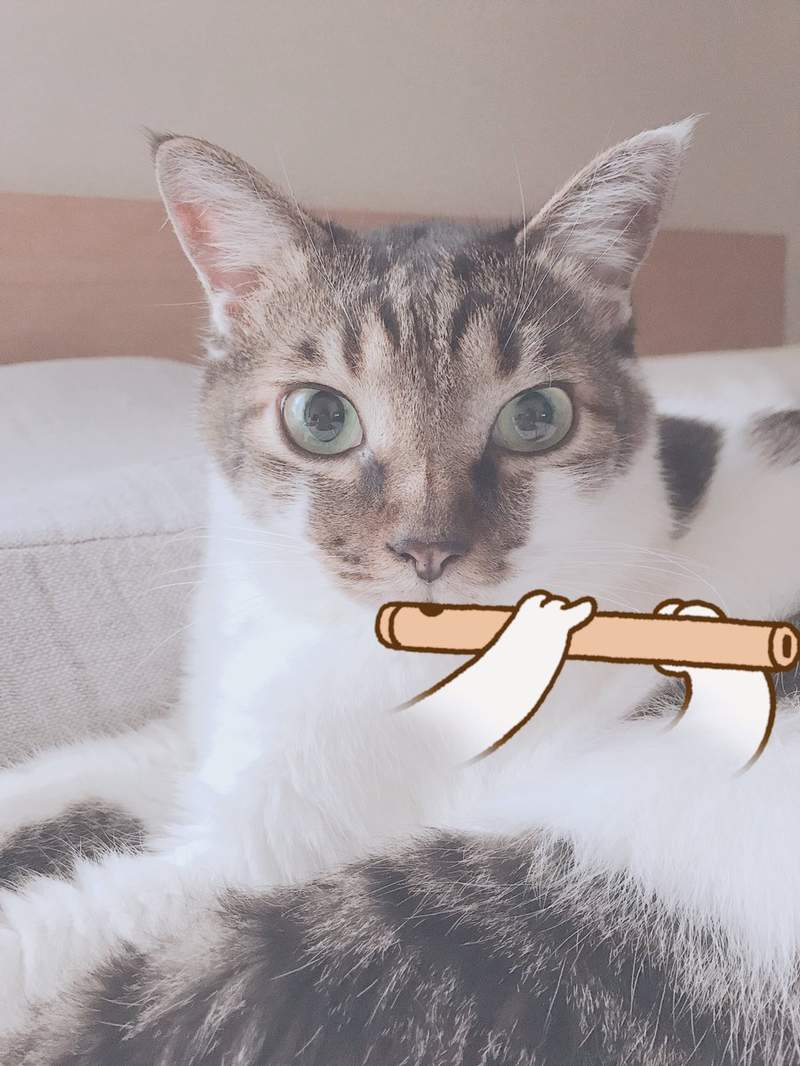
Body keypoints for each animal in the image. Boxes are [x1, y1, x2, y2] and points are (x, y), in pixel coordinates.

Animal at [3, 116, 800, 1064]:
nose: (428, 549)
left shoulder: (252, 854)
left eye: (536, 418)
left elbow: (61, 919)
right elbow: (64, 774)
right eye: (320, 418)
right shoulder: (188, 744)